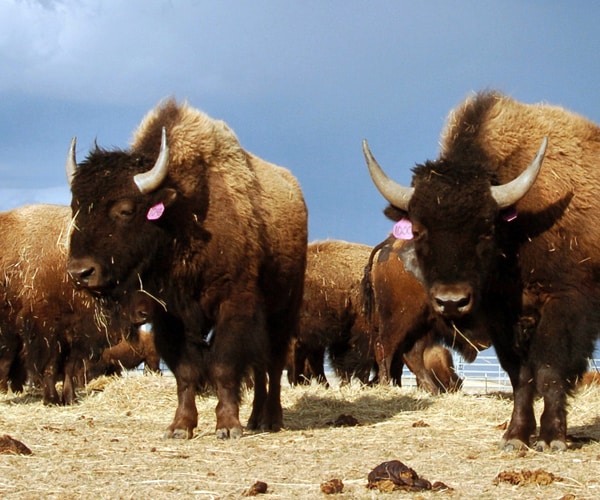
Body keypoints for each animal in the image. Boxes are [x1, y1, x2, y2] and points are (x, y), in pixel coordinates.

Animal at [0, 205, 126, 404]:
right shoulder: (46, 329)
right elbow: (50, 366)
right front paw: (52, 399)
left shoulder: (76, 335)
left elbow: (69, 368)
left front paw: (70, 398)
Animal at [67, 98, 310, 438]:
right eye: (75, 207)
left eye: (125, 210)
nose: (80, 273)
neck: (180, 215)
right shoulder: (167, 316)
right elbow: (186, 371)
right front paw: (181, 426)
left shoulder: (232, 304)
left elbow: (223, 366)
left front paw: (228, 426)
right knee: (260, 367)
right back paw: (255, 419)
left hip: (283, 309)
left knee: (273, 364)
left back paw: (270, 420)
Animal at [364, 88, 600, 452]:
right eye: (418, 229)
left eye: (487, 228)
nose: (451, 301)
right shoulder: (501, 317)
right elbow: (521, 375)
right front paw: (516, 437)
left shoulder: (562, 304)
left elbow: (548, 369)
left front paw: (550, 438)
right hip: (402, 320)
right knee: (392, 350)